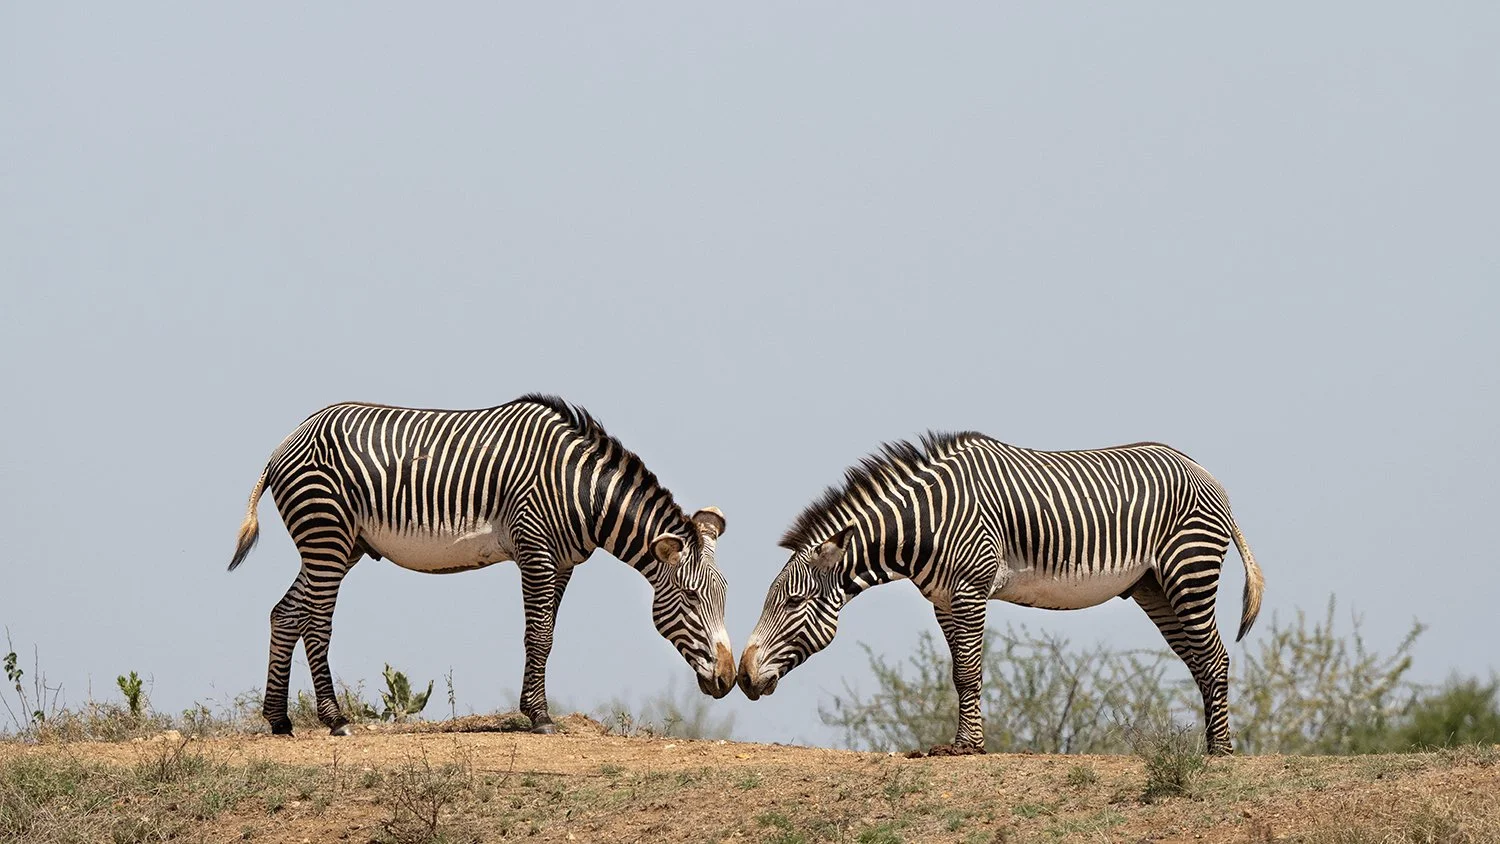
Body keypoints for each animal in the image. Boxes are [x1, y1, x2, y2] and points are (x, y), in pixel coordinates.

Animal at [228, 394, 734, 736]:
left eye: (724, 596)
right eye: (691, 596)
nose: (729, 679)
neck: (583, 490)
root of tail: (288, 439)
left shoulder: (563, 562)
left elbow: (548, 634)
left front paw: (533, 708)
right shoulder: (535, 547)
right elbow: (539, 634)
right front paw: (540, 716)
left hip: (341, 543)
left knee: (285, 613)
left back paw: (278, 720)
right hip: (326, 535)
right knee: (315, 622)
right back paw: (335, 719)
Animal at [738, 432, 1263, 755]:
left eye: (793, 603)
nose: (742, 677)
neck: (924, 524)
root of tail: (1203, 472)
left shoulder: (971, 588)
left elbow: (968, 671)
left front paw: (968, 747)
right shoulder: (943, 600)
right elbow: (957, 674)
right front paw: (960, 742)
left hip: (1189, 570)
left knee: (1214, 658)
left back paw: (1221, 753)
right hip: (1154, 587)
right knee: (1199, 661)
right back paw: (1212, 745)